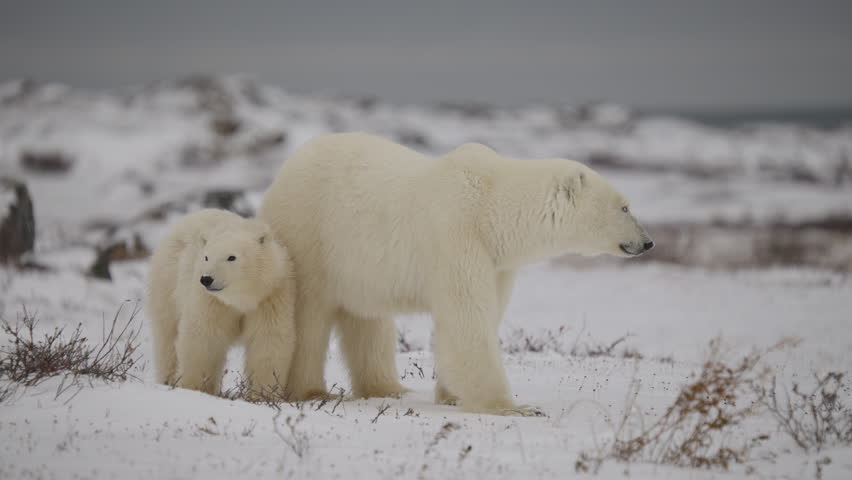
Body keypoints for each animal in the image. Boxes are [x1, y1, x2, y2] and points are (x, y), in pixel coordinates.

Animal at [147, 208, 296, 399]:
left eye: (231, 257)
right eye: (206, 257)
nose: (206, 279)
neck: (241, 300)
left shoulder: (271, 297)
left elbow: (268, 341)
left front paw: (264, 395)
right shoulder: (211, 302)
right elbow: (203, 339)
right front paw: (195, 388)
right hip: (167, 283)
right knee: (166, 337)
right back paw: (168, 380)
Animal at [258, 132, 653, 415]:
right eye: (624, 206)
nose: (647, 242)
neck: (491, 206)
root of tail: (284, 170)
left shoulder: (497, 261)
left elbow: (485, 314)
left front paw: (450, 395)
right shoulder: (455, 234)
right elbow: (466, 318)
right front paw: (513, 408)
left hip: (357, 265)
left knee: (367, 321)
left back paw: (389, 388)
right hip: (310, 233)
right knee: (309, 316)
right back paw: (310, 391)